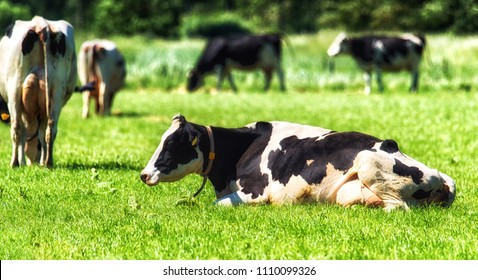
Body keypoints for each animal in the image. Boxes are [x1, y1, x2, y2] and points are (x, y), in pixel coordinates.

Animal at [0, 16, 77, 167]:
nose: (33, 162)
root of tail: (41, 23)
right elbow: (41, 132)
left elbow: (24, 134)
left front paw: (22, 162)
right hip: (57, 90)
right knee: (51, 128)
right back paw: (48, 162)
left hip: (14, 88)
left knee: (16, 128)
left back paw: (14, 163)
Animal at [139, 115, 456, 211]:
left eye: (171, 144)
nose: (143, 174)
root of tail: (441, 176)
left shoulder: (254, 193)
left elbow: (215, 205)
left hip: (369, 163)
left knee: (399, 207)